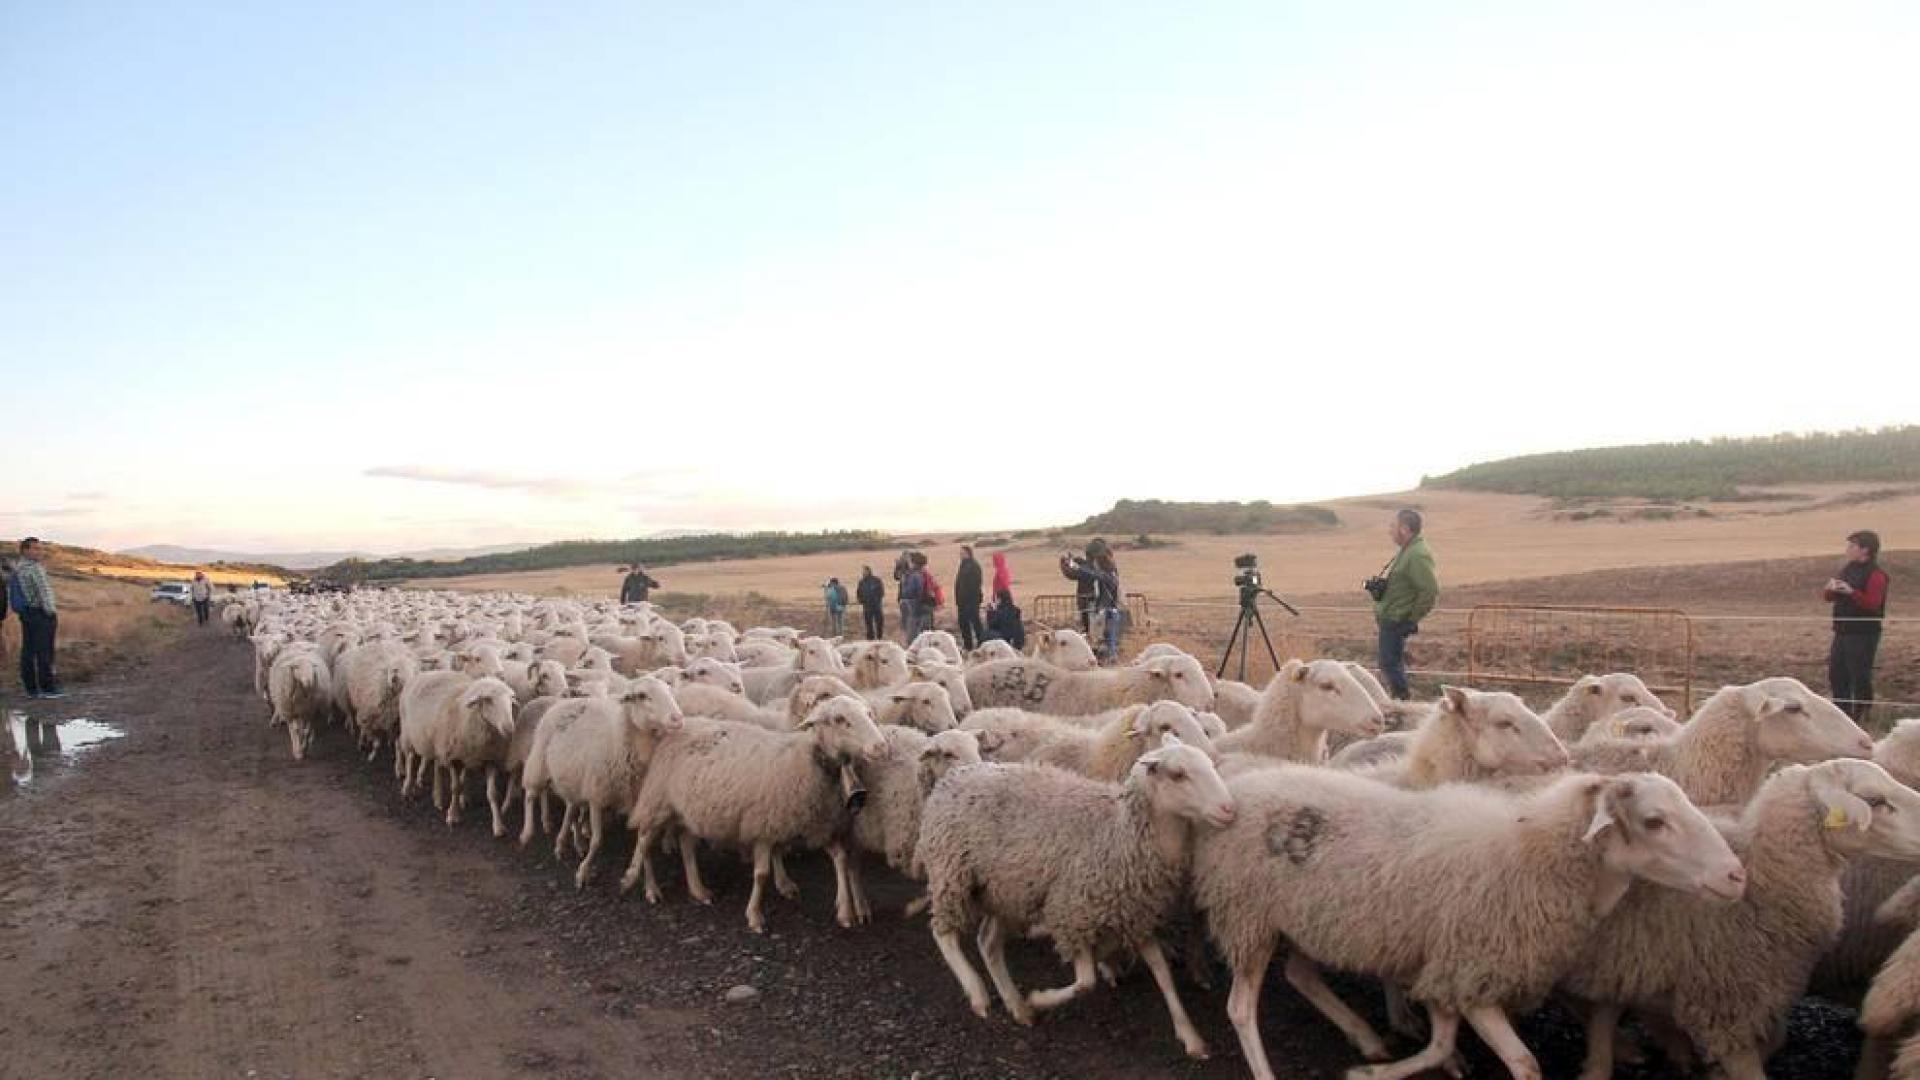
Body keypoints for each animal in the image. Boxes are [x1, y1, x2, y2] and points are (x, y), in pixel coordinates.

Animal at [518, 676, 684, 888]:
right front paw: (583, 872)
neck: (619, 742)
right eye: (642, 695)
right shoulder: (596, 796)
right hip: (539, 762)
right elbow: (597, 841)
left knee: (571, 809)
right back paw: (526, 833)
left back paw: (564, 843)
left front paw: (648, 884)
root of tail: (565, 701)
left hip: (573, 778)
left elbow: (643, 843)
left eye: (669, 690)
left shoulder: (638, 803)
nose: (678, 719)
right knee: (530, 794)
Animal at [619, 694, 889, 932]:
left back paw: (698, 890)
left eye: (869, 714)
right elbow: (761, 874)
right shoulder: (763, 825)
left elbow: (840, 859)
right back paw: (647, 887)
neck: (807, 762)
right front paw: (755, 916)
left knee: (686, 844)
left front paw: (844, 911)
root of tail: (681, 728)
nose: (881, 746)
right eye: (839, 719)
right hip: (658, 801)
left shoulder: (814, 822)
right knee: (644, 842)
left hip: (692, 810)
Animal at [915, 734, 1236, 1059]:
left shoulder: (1135, 914)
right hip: (951, 872)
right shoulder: (1072, 913)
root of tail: (954, 777)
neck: (1119, 833)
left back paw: (1017, 1005)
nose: (1229, 809)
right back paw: (978, 992)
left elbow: (1163, 975)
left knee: (988, 942)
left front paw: (1191, 1037)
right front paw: (1040, 998)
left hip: (1005, 891)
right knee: (942, 933)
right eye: (1178, 774)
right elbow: (1085, 983)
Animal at [1192, 767, 1746, 1080]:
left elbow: (1440, 1043)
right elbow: (1523, 1063)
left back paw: (1366, 1039)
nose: (1736, 875)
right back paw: (1266, 1068)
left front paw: (1374, 1070)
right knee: (1240, 1008)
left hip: (1309, 918)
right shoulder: (1473, 971)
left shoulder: (1449, 969)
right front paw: (1376, 1073)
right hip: (1249, 917)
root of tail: (1236, 791)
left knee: (1300, 975)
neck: (1533, 857)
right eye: (1654, 821)